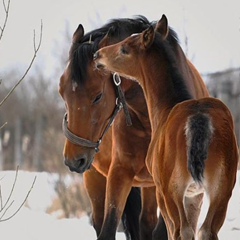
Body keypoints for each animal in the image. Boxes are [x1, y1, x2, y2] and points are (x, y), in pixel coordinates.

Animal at [59, 15, 210, 239]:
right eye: (61, 92)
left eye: (98, 96)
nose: (73, 159)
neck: (150, 121)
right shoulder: (119, 172)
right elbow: (108, 227)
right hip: (95, 177)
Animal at [93, 14, 238, 240]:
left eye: (125, 48)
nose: (98, 55)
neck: (165, 108)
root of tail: (199, 120)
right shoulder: (195, 195)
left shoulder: (161, 191)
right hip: (223, 189)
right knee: (207, 230)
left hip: (172, 191)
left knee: (182, 230)